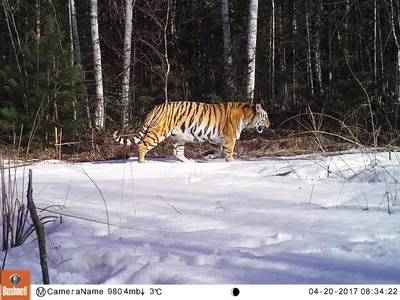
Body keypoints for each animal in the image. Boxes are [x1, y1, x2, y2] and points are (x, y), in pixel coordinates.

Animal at [112, 101, 270, 163]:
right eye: (265, 116)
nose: (269, 123)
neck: (247, 117)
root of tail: (156, 108)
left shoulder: (216, 139)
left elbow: (218, 150)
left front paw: (208, 157)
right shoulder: (229, 137)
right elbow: (229, 152)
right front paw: (231, 162)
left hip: (178, 137)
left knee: (177, 152)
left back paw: (189, 162)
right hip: (158, 132)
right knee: (142, 145)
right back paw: (142, 162)